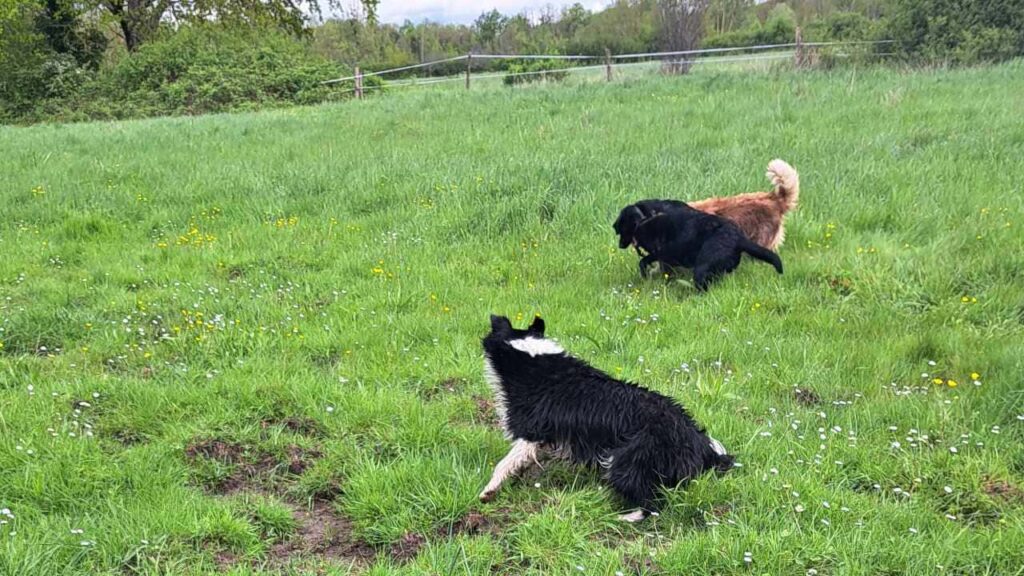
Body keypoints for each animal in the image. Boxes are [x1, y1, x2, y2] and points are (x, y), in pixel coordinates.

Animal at [477, 313, 729, 520]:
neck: (532, 360)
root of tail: (698, 440)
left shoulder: (531, 430)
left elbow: (504, 463)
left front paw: (488, 491)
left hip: (627, 460)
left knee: (653, 504)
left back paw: (624, 517)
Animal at [614, 201, 782, 291]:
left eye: (621, 226)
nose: (620, 245)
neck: (645, 219)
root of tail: (738, 237)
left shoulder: (663, 253)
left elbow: (644, 262)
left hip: (702, 267)